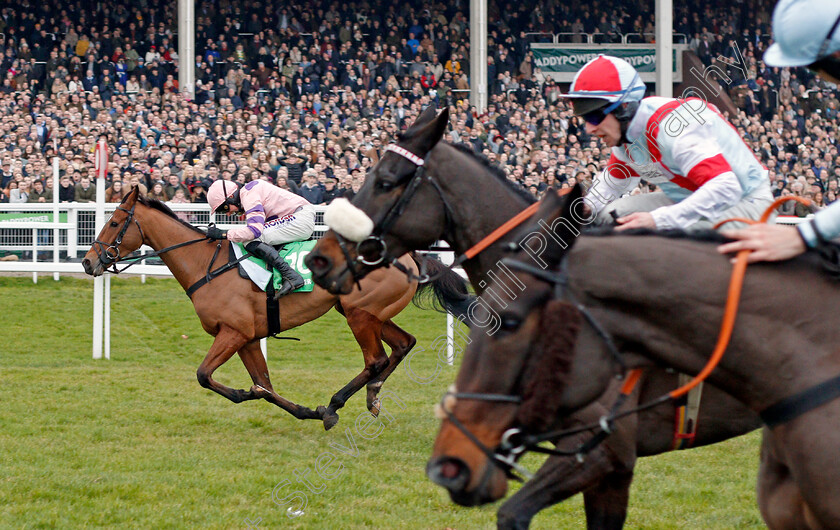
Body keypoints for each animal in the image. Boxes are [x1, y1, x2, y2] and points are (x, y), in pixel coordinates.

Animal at [82, 186, 470, 428]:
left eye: (114, 222)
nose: (88, 262)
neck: (206, 265)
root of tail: (407, 255)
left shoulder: (233, 333)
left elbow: (205, 375)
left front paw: (247, 393)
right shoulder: (248, 338)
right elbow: (265, 386)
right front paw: (306, 412)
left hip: (359, 314)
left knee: (376, 359)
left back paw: (336, 403)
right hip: (367, 312)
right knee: (403, 345)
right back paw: (370, 397)